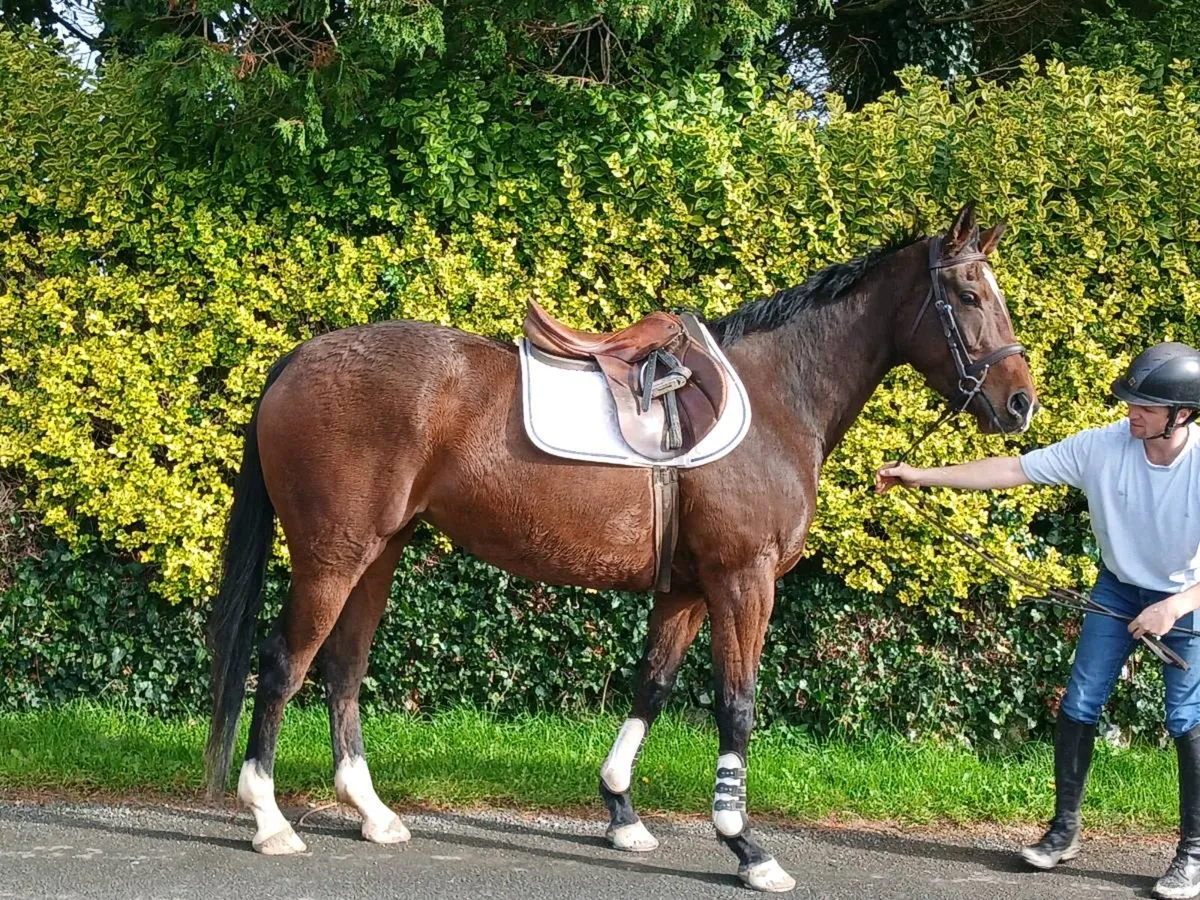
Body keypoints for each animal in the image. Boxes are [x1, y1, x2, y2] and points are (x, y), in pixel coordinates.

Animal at [204, 203, 1037, 892]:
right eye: (969, 295)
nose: (1021, 402)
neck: (775, 398)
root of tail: (298, 358)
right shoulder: (744, 581)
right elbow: (737, 704)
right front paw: (746, 846)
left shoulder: (689, 590)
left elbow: (653, 687)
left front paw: (622, 811)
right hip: (333, 556)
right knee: (283, 664)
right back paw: (269, 819)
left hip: (379, 553)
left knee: (343, 668)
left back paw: (372, 813)